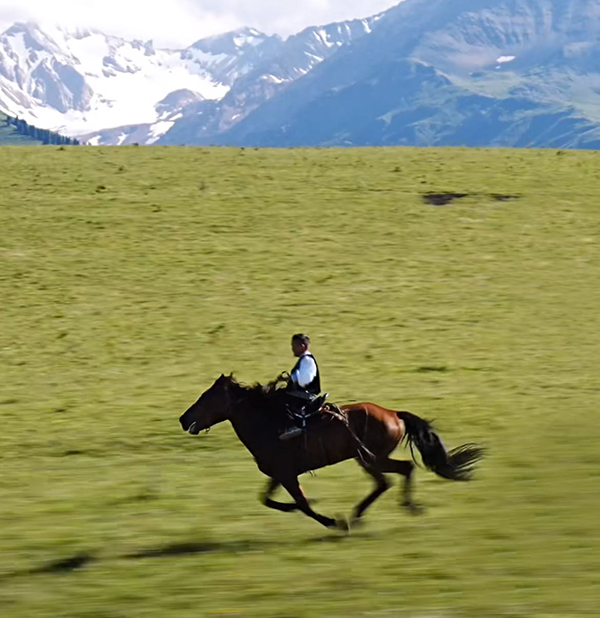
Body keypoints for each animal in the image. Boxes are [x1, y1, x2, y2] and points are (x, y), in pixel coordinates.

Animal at [178, 372, 482, 528]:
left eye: (206, 398)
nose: (183, 419)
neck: (268, 422)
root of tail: (394, 413)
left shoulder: (287, 475)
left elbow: (303, 504)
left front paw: (332, 521)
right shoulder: (279, 474)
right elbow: (268, 500)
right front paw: (296, 508)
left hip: (370, 458)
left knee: (398, 472)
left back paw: (397, 508)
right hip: (368, 459)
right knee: (388, 480)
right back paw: (361, 515)